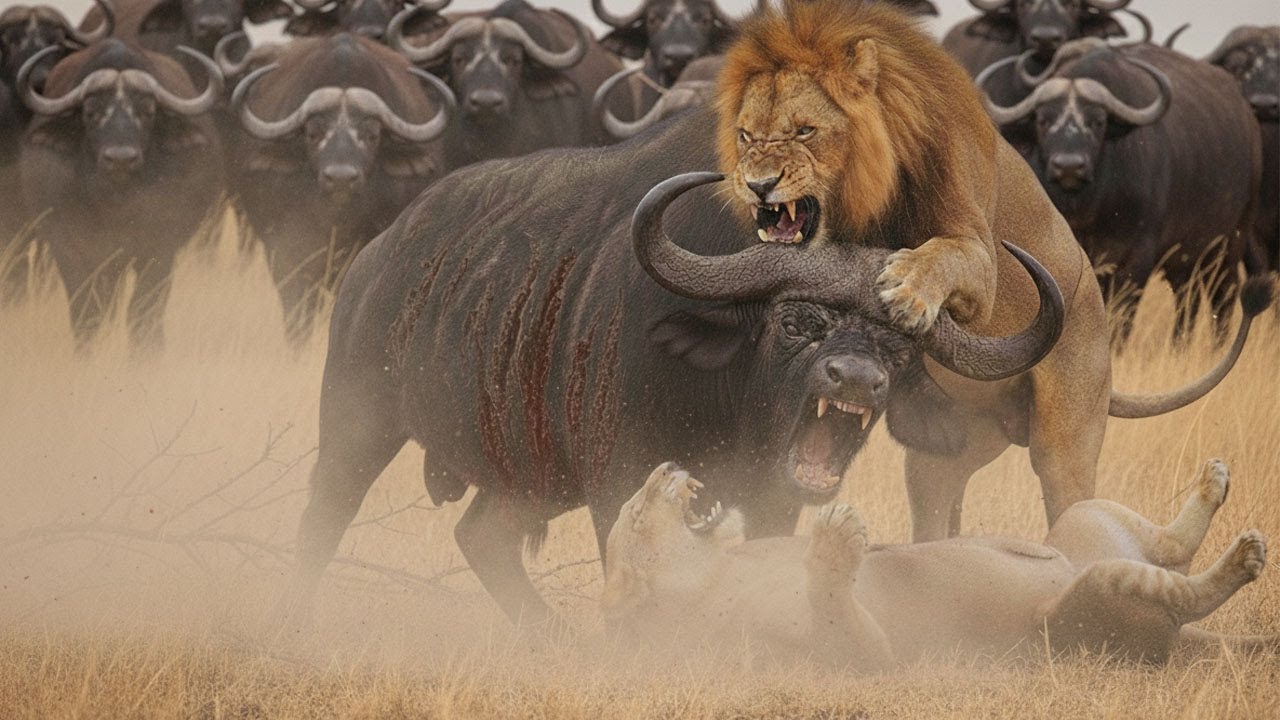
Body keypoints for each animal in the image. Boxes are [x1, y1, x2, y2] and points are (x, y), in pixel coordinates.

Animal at [601, 462, 1278, 668]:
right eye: (633, 515)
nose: (664, 467)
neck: (715, 568)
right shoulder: (854, 658)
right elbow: (838, 611)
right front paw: (836, 537)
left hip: (1084, 519)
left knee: (1169, 548)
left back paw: (1213, 485)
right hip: (1085, 603)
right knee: (1181, 592)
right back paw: (1243, 558)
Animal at [712, 0, 1271, 540]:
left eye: (805, 131)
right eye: (746, 135)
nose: (757, 185)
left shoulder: (983, 261)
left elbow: (946, 254)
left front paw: (907, 294)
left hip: (1067, 441)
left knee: (1069, 501)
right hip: (942, 456)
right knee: (935, 515)